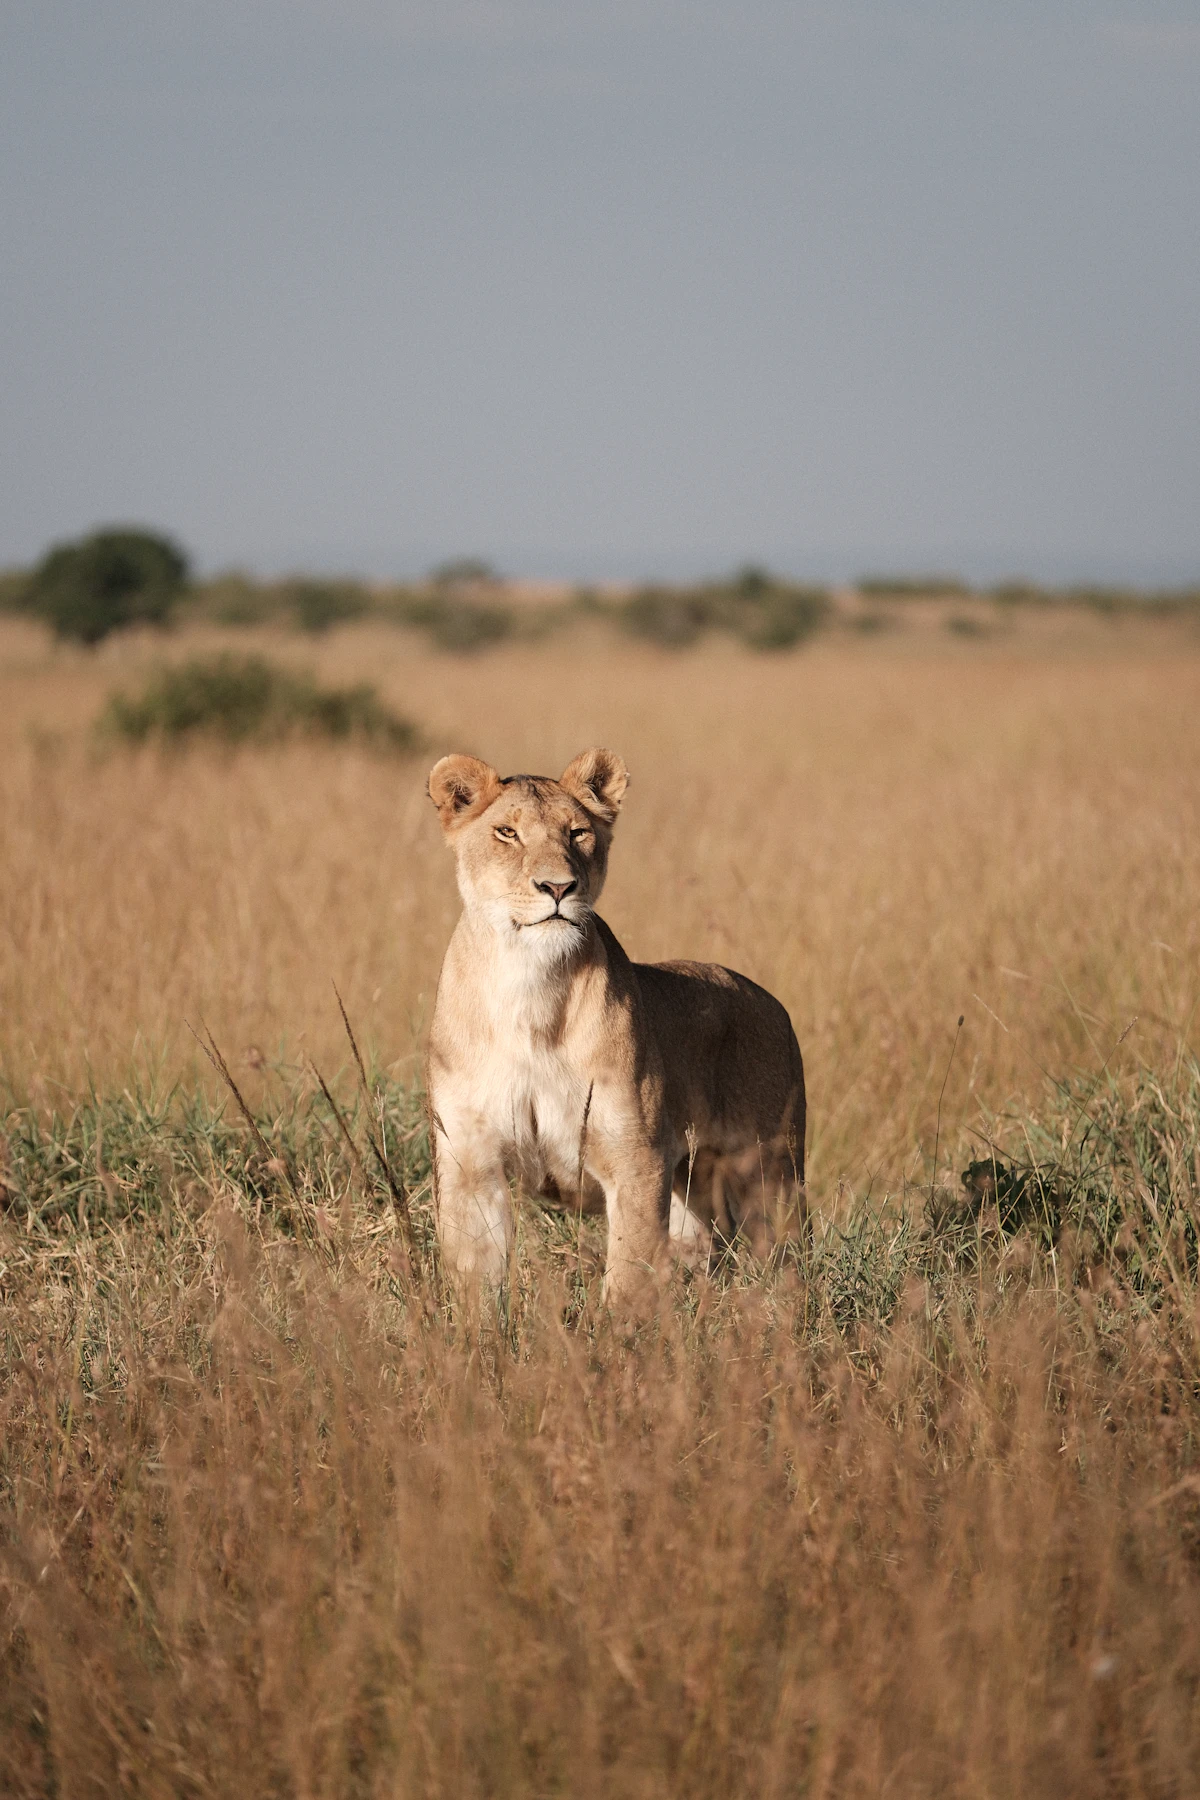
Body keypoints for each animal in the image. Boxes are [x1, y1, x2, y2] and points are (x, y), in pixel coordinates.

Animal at [425, 747, 806, 1304]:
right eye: (507, 833)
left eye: (578, 833)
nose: (558, 887)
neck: (530, 985)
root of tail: (774, 1003)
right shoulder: (472, 1164)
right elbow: (476, 1283)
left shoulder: (635, 1159)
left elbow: (628, 1277)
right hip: (693, 1182)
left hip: (770, 1172)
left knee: (785, 1251)